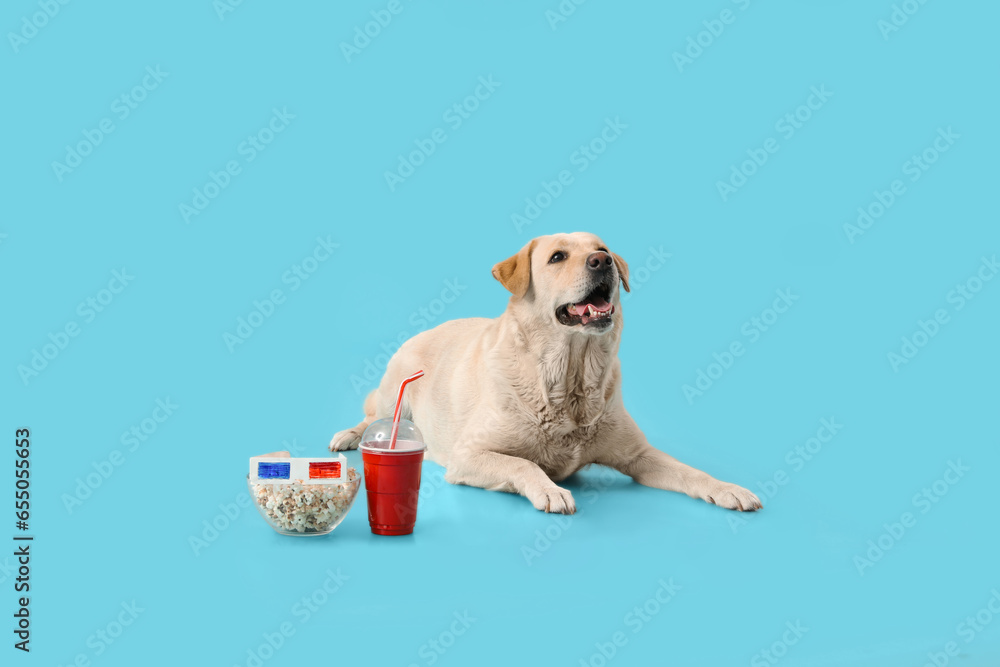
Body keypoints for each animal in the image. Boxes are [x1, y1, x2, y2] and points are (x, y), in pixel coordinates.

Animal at [332, 232, 760, 516]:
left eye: (603, 250)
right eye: (557, 257)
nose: (603, 262)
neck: (570, 376)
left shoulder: (640, 455)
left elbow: (691, 472)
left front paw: (727, 489)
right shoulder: (468, 455)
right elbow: (524, 463)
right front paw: (550, 490)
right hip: (395, 390)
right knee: (372, 419)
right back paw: (349, 435)